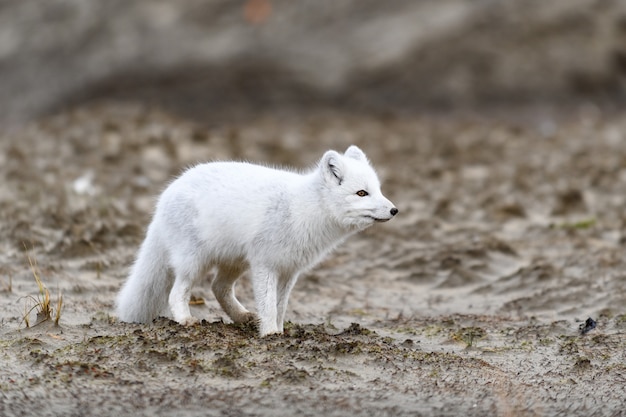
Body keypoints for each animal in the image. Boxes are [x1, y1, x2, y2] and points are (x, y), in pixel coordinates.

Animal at [115, 145, 398, 334]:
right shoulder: (266, 264)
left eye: (378, 190)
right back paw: (186, 320)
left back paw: (242, 317)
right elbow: (269, 305)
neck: (304, 209)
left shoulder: (289, 270)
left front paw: (279, 332)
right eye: (361, 193)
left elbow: (280, 306)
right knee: (177, 292)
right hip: (194, 261)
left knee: (218, 288)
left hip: (235, 262)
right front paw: (270, 334)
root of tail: (165, 196)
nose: (395, 210)